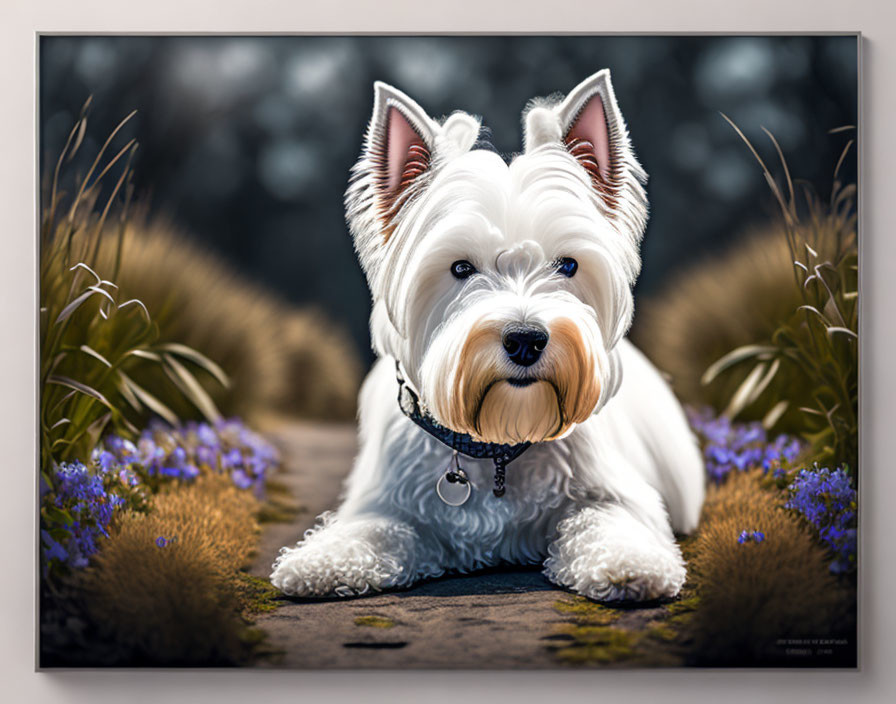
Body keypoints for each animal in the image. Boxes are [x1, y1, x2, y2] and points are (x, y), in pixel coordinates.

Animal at [270, 70, 704, 600]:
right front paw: (322, 561)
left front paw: (628, 563)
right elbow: (371, 529)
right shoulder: (387, 501)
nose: (526, 340)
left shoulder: (617, 493)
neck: (497, 444)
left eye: (567, 265)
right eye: (461, 267)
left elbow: (608, 520)